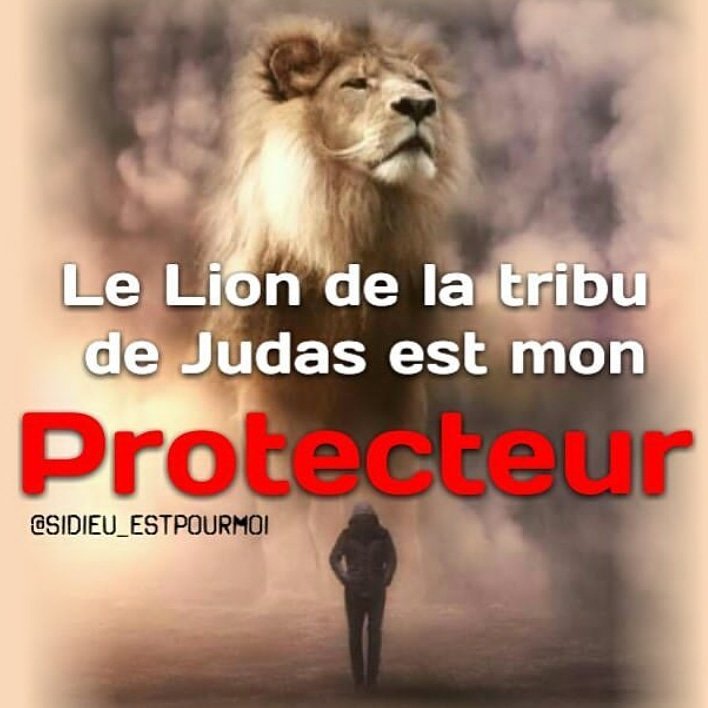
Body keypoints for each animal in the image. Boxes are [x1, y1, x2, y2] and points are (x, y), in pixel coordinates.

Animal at [204, 15, 469, 597]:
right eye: (356, 84)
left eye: (424, 86)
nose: (419, 106)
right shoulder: (269, 394)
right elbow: (281, 510)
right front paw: (290, 591)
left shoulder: (397, 392)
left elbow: (397, 496)